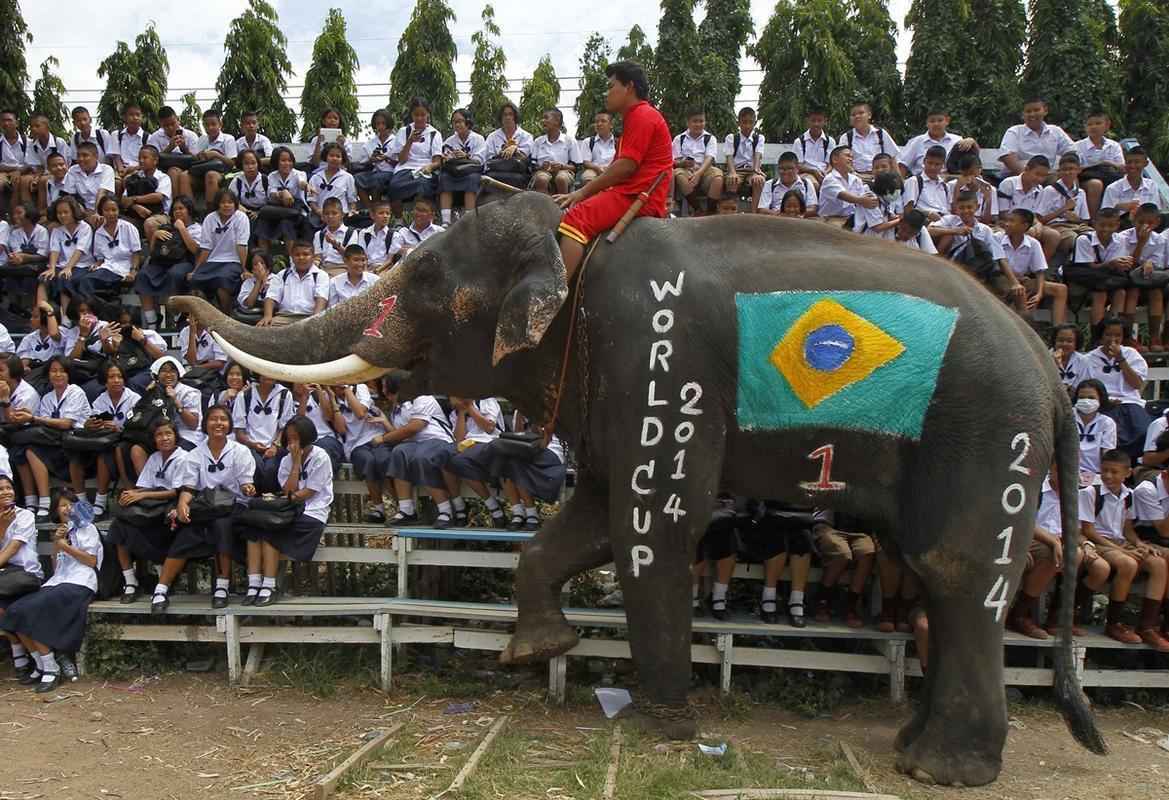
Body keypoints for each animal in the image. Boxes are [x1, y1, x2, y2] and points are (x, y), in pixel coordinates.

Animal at [173, 190, 1103, 785]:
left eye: (430, 282)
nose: (183, 298)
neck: (573, 239)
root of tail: (1051, 378)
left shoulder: (661, 366)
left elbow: (654, 525)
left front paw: (666, 723)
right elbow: (587, 517)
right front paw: (536, 652)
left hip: (986, 439)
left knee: (955, 570)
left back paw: (941, 768)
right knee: (931, 575)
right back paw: (914, 746)